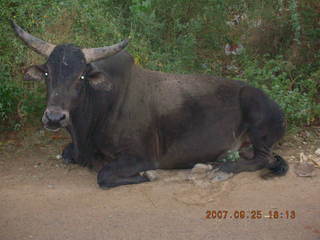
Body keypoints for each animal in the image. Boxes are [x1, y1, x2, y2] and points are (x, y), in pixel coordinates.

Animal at [11, 21, 288, 188]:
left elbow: (105, 175)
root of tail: (277, 107)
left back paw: (222, 168)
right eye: (48, 73)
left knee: (264, 159)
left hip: (257, 123)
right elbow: (67, 154)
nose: (54, 117)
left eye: (81, 76)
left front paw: (150, 175)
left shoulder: (141, 156)